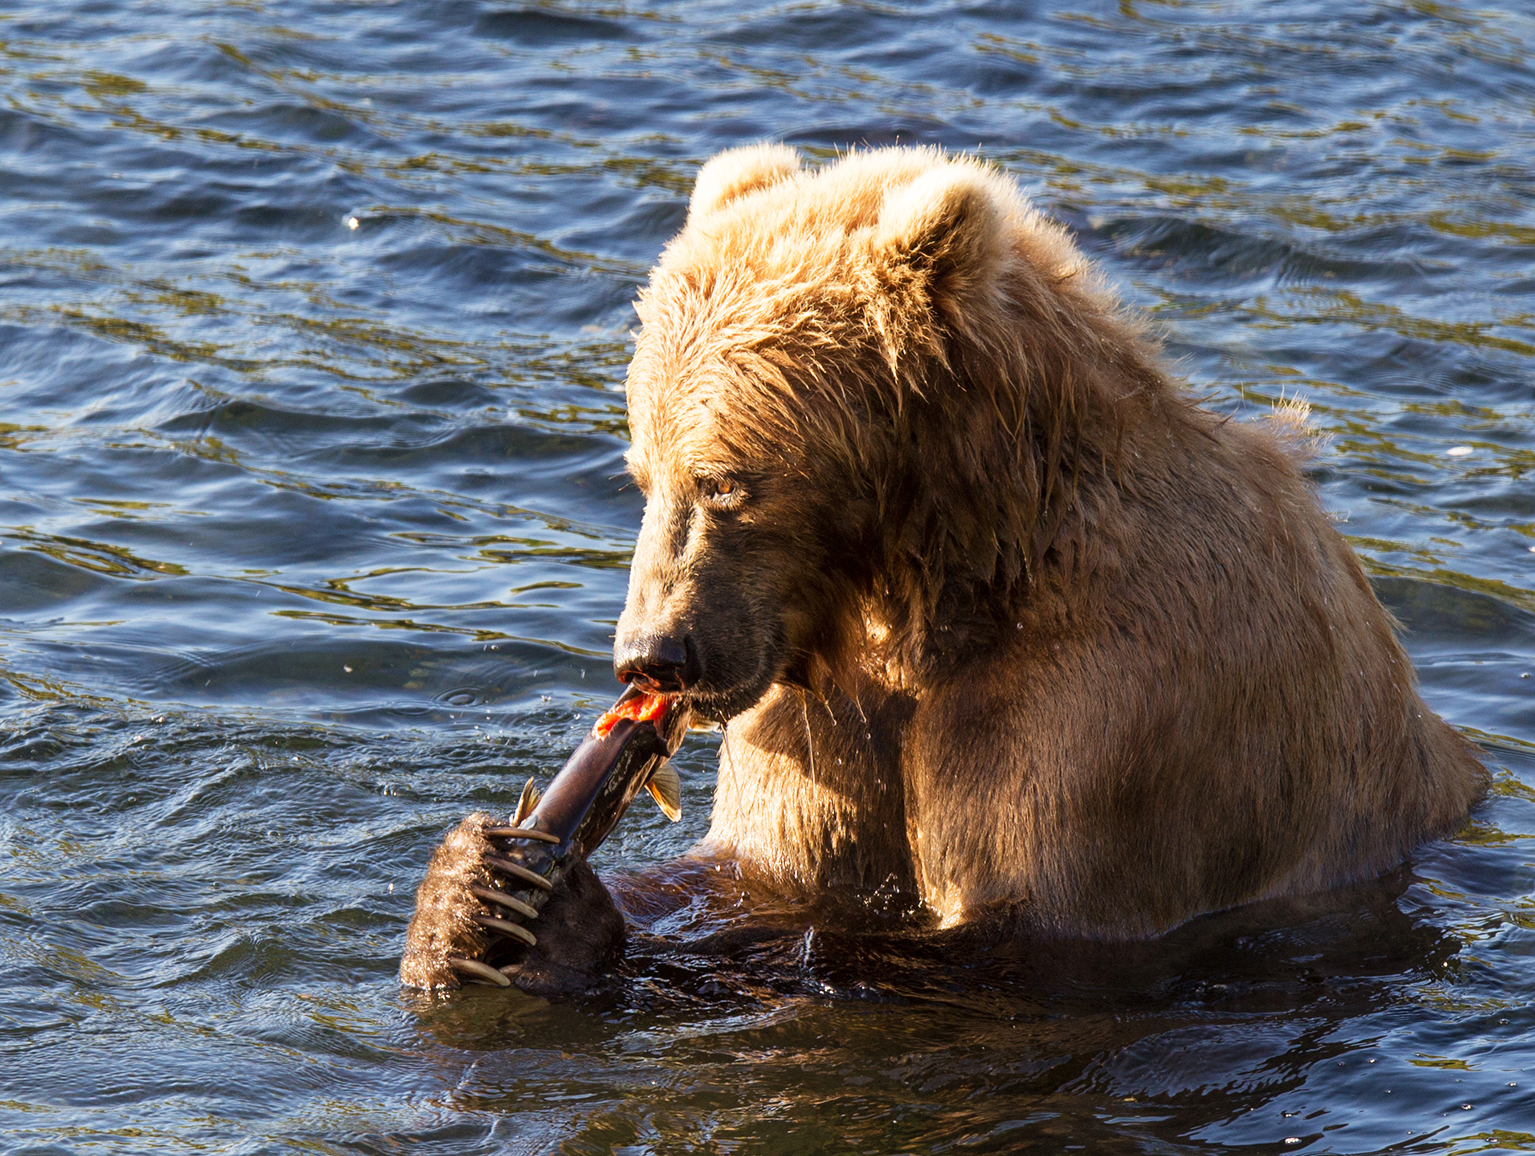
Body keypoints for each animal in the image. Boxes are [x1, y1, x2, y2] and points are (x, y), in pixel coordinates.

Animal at [399, 144, 1485, 994]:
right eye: (639, 472)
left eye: (723, 481)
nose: (652, 656)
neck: (944, 581)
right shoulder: (822, 708)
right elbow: (762, 869)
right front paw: (467, 888)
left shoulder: (1103, 709)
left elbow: (1014, 935)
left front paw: (559, 915)